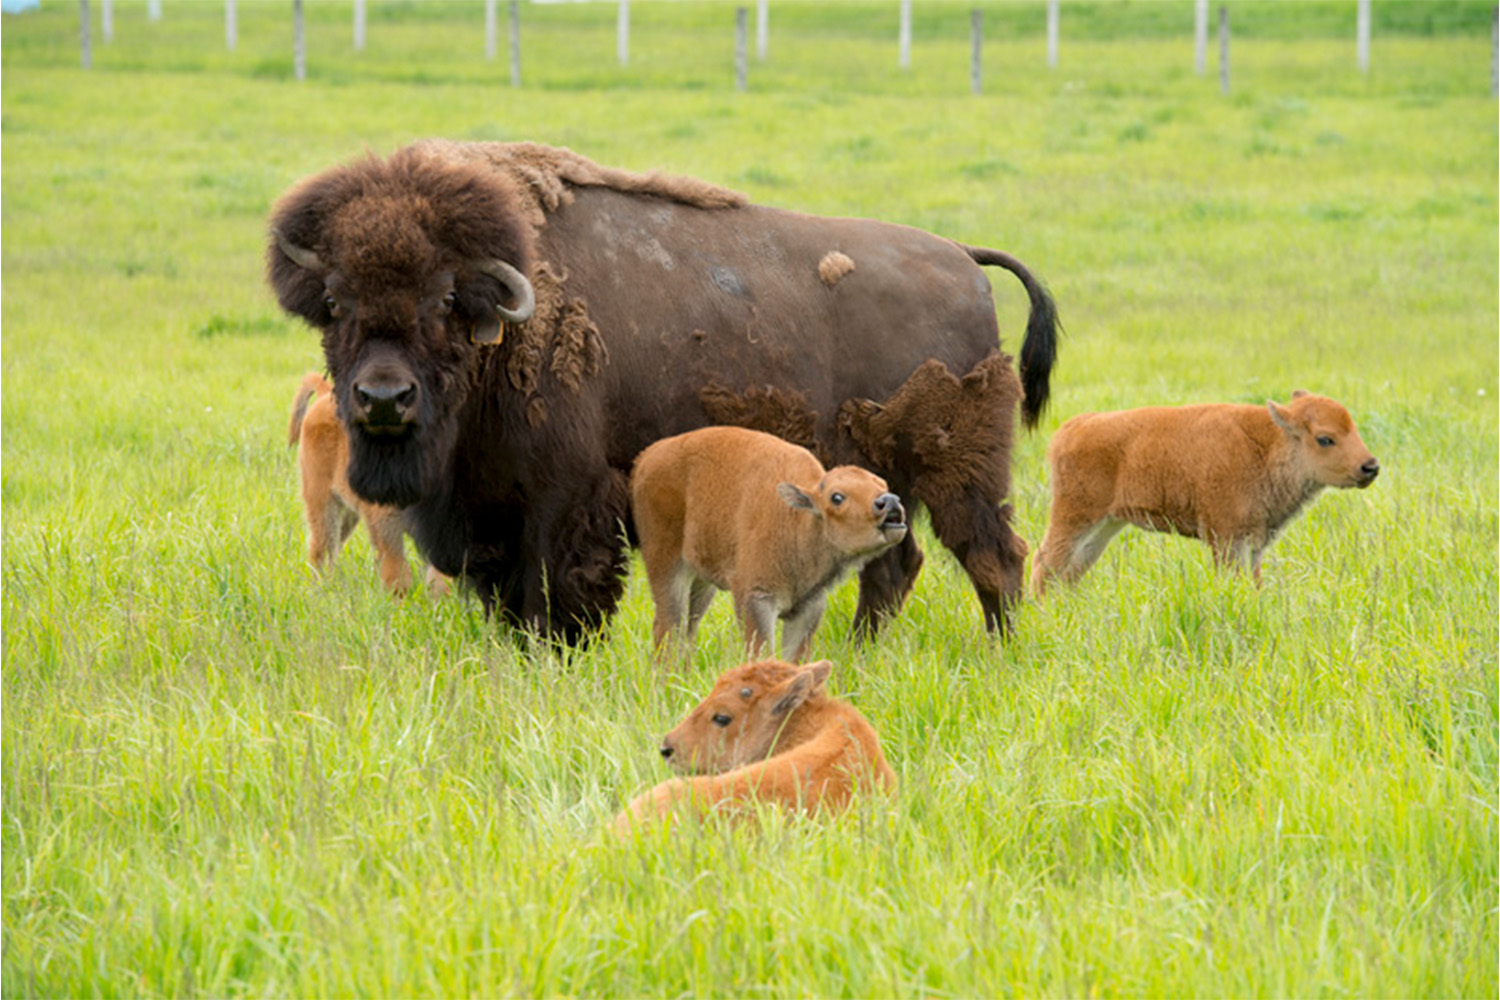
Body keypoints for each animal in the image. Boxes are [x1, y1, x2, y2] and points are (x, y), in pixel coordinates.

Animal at [286, 373, 447, 593]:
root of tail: (325, 395)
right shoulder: (384, 519)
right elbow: (396, 568)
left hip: (348, 513)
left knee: (332, 549)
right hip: (322, 504)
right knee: (320, 549)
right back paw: (318, 590)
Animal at [630, 425, 906, 665]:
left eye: (883, 484)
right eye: (837, 497)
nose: (890, 502)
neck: (799, 519)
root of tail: (646, 459)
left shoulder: (807, 608)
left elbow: (795, 660)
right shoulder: (756, 599)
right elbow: (762, 653)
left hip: (701, 582)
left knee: (688, 629)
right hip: (666, 565)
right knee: (667, 627)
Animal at [1032, 389, 1380, 590]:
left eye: (1354, 428)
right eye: (1325, 439)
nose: (1370, 466)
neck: (1268, 444)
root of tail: (1069, 429)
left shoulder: (1254, 543)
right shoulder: (1226, 539)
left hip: (1106, 524)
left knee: (1071, 568)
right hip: (1076, 517)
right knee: (1044, 562)